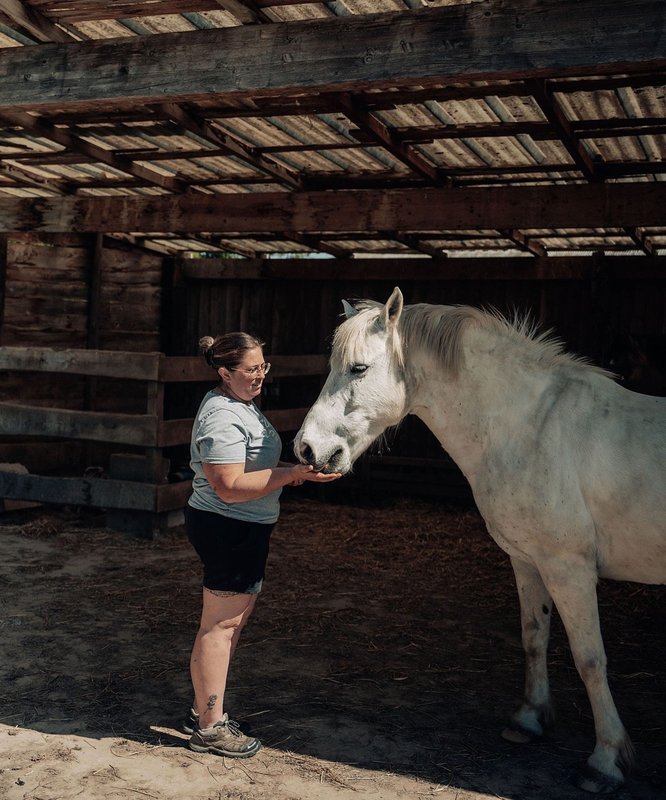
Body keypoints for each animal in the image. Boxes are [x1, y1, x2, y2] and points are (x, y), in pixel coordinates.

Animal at [294, 287, 666, 793]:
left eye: (358, 368)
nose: (307, 449)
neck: (532, 427)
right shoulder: (528, 561)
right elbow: (533, 637)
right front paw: (528, 720)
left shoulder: (568, 569)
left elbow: (590, 661)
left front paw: (604, 761)